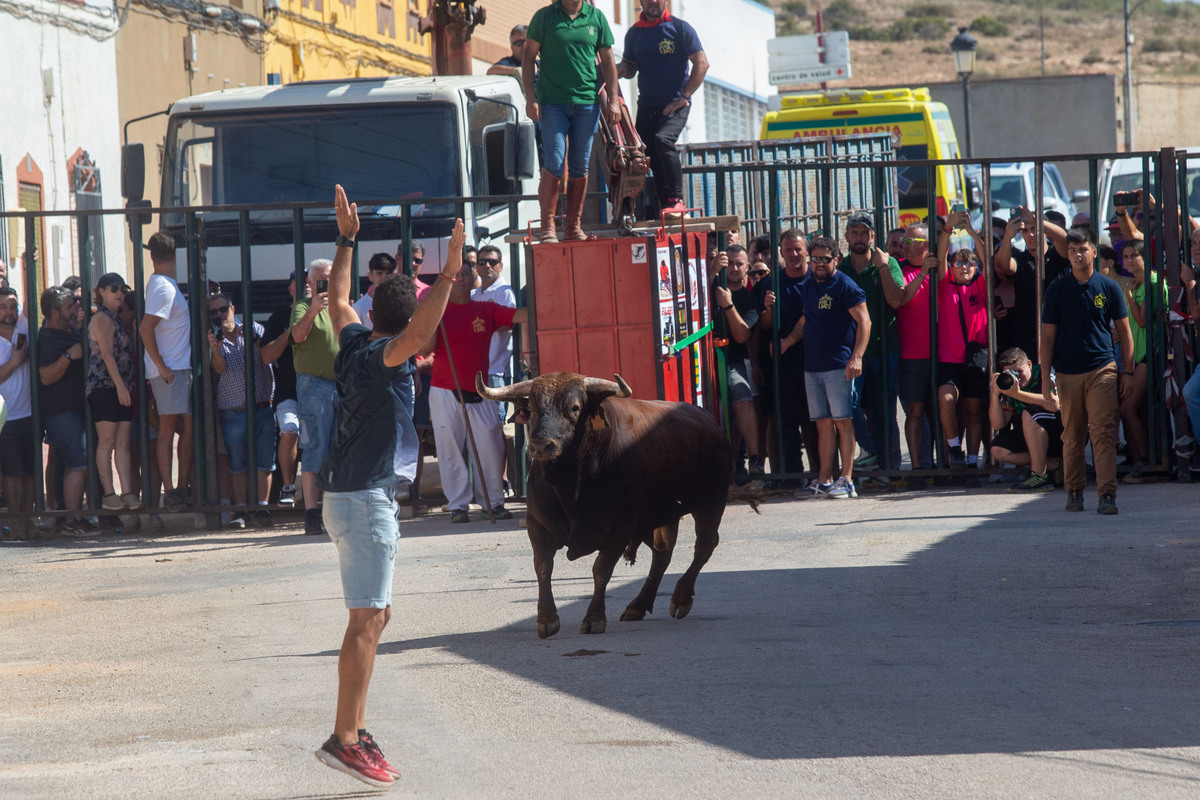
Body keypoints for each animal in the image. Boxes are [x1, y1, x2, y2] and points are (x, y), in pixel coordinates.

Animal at [477, 369, 729, 638]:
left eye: (575, 407)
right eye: (532, 409)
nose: (541, 446)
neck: (571, 484)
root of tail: (709, 421)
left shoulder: (619, 528)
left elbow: (601, 570)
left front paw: (594, 618)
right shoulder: (537, 524)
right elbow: (543, 566)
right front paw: (546, 619)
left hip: (710, 503)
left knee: (704, 546)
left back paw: (680, 597)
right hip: (662, 514)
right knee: (662, 554)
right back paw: (638, 606)